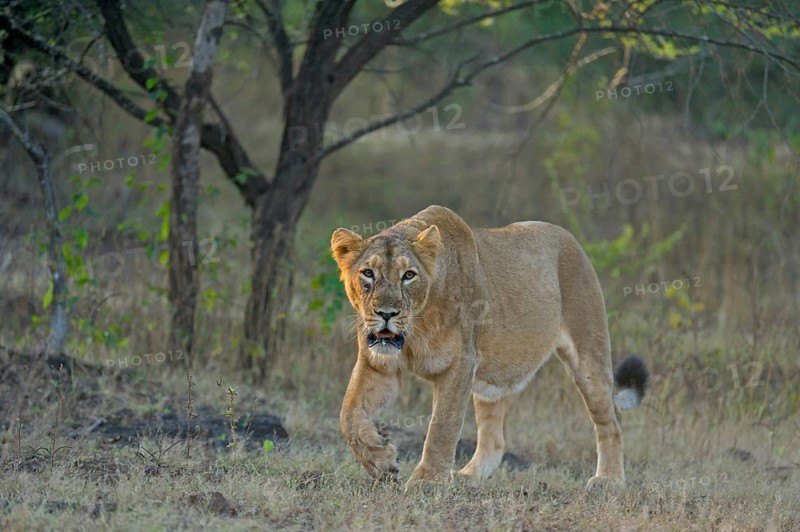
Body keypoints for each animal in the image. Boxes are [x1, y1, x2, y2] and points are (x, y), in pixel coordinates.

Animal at [331, 205, 648, 490]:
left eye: (408, 275)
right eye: (368, 273)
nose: (386, 313)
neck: (416, 328)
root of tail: (569, 237)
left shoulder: (460, 363)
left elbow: (442, 426)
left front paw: (428, 482)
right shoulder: (377, 363)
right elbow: (348, 414)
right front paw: (381, 460)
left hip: (588, 355)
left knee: (611, 420)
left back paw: (609, 480)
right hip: (491, 382)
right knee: (495, 438)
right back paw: (468, 477)